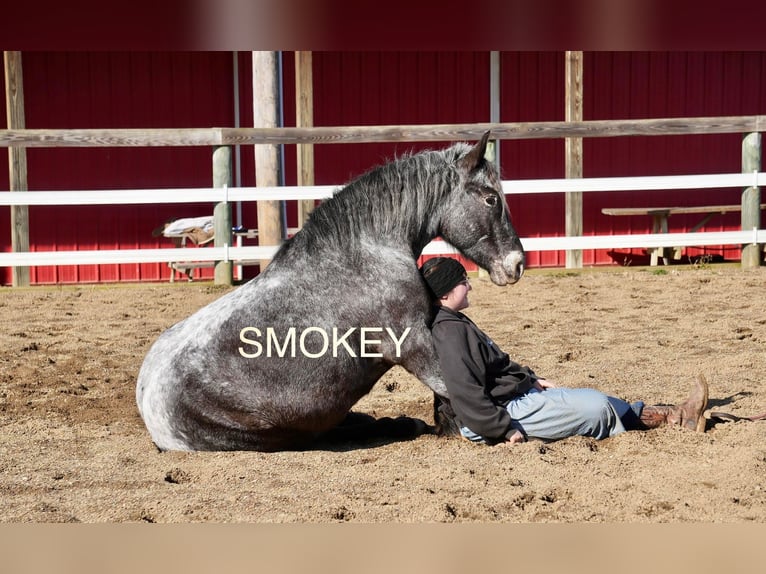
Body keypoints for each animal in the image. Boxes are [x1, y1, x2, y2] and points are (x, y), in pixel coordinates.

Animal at [136, 132, 525, 451]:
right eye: (491, 199)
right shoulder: (412, 344)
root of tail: (150, 407)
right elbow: (450, 386)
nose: (517, 263)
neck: (368, 252)